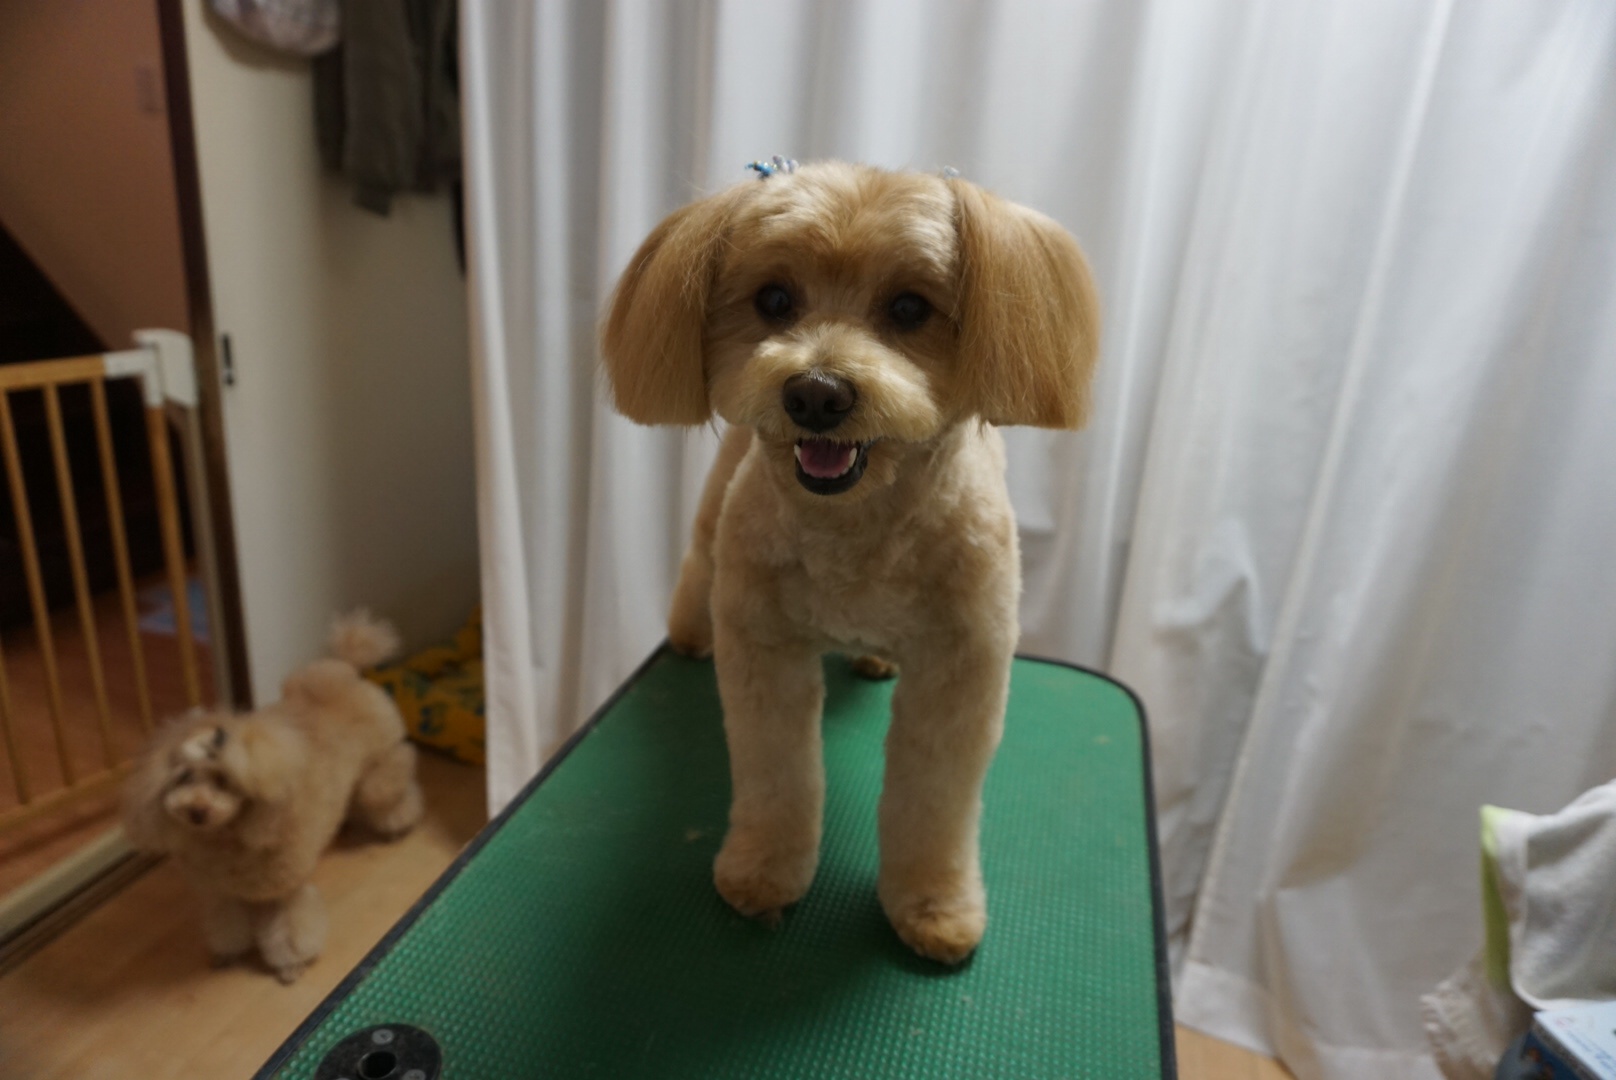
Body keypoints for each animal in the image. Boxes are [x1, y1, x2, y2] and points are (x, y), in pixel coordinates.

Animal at [122, 611, 424, 982]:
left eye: (224, 779)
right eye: (184, 777)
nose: (196, 810)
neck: (229, 838)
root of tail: (345, 667)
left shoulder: (285, 891)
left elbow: (289, 931)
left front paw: (290, 964)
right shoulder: (223, 895)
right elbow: (227, 925)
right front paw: (227, 954)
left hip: (380, 767)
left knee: (390, 791)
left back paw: (397, 826)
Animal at [600, 162, 1099, 962]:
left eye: (909, 307)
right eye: (774, 300)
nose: (816, 392)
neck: (855, 533)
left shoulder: (962, 670)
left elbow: (934, 800)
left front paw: (932, 906)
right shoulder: (763, 649)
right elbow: (777, 775)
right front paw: (764, 872)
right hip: (717, 513)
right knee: (698, 560)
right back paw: (688, 634)